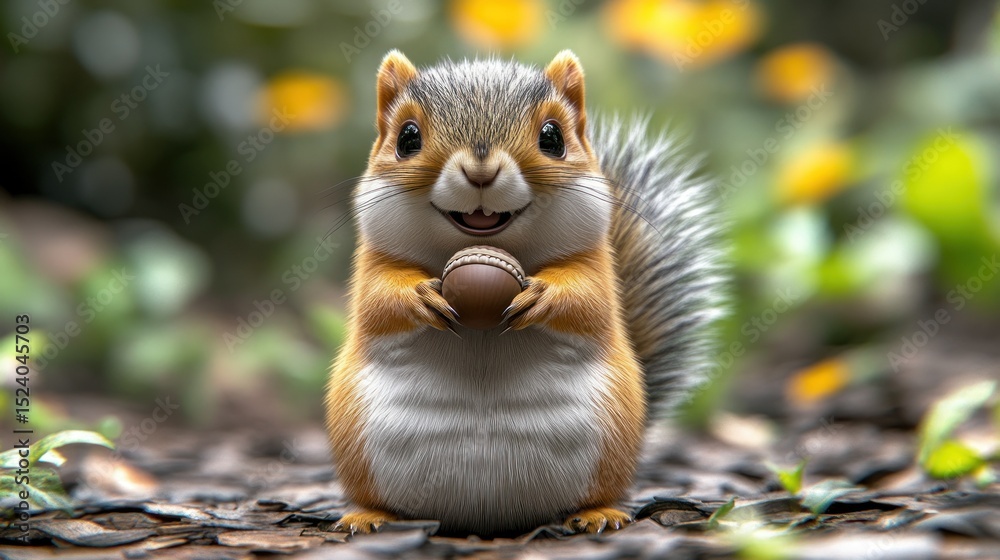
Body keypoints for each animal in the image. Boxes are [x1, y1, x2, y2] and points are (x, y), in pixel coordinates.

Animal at [325, 50, 724, 536]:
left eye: (553, 137)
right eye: (407, 138)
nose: (481, 170)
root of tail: (486, 517)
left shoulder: (594, 265)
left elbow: (587, 301)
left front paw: (543, 297)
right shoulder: (374, 262)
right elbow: (378, 301)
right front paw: (419, 295)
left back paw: (598, 514)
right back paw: (367, 516)